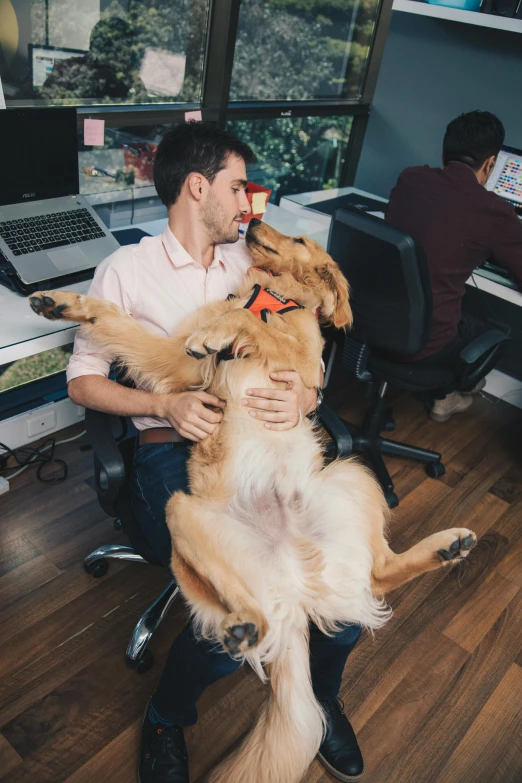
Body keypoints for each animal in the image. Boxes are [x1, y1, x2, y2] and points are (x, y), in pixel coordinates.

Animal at [28, 220, 476, 783]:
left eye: (302, 242)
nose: (254, 222)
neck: (272, 294)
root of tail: (296, 585)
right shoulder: (181, 366)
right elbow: (119, 321)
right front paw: (64, 303)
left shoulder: (304, 366)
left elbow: (254, 326)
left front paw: (226, 329)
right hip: (184, 513)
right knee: (256, 594)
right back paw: (242, 622)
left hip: (352, 473)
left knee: (378, 572)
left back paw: (447, 547)